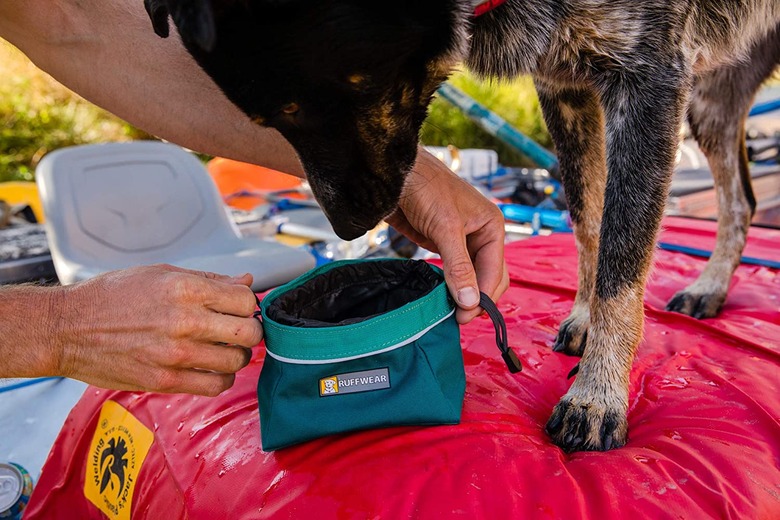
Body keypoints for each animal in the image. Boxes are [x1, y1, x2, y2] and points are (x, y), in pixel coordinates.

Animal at [145, 0, 780, 450]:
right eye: (269, 119)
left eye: (305, 107)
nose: (350, 230)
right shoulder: (566, 84)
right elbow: (589, 220)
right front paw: (584, 317)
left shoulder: (648, 80)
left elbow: (622, 261)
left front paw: (599, 394)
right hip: (713, 103)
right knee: (742, 202)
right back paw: (711, 284)